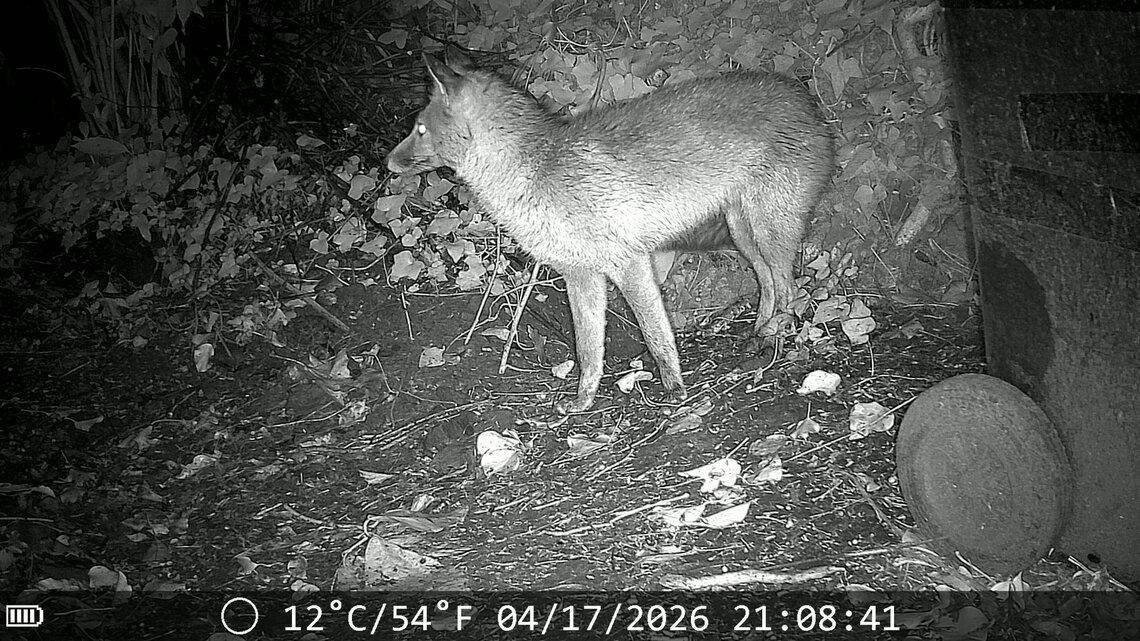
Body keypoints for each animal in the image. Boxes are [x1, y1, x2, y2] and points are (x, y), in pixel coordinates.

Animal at [386, 51, 834, 413]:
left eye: (420, 129)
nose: (388, 162)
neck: (536, 175)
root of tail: (803, 96)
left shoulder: (628, 262)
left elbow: (656, 335)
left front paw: (675, 389)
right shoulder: (580, 274)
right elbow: (589, 351)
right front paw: (582, 402)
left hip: (768, 229)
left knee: (789, 288)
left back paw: (777, 339)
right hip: (745, 232)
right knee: (770, 285)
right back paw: (760, 334)